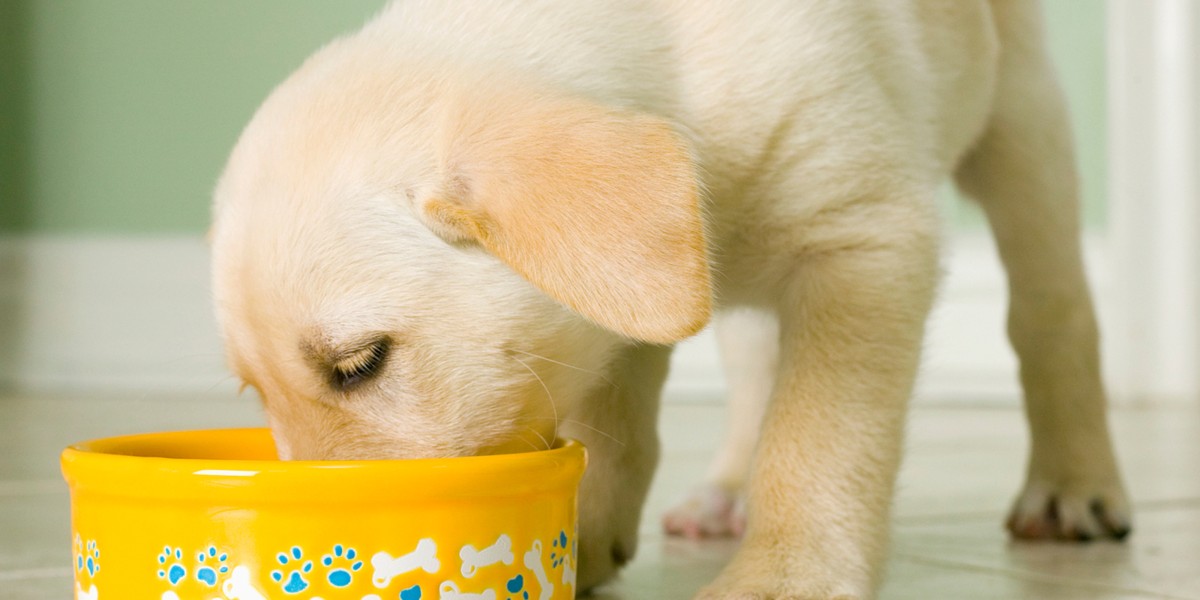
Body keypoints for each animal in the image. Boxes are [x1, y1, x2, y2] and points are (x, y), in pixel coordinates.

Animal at [213, 2, 1132, 597]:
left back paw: (1074, 484)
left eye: (359, 364)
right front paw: (583, 539)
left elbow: (822, 431)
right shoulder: (639, 285)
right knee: (757, 362)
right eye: (257, 393)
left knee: (1053, 310)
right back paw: (725, 492)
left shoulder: (863, 243)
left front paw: (786, 573)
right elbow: (616, 415)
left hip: (1021, 116)